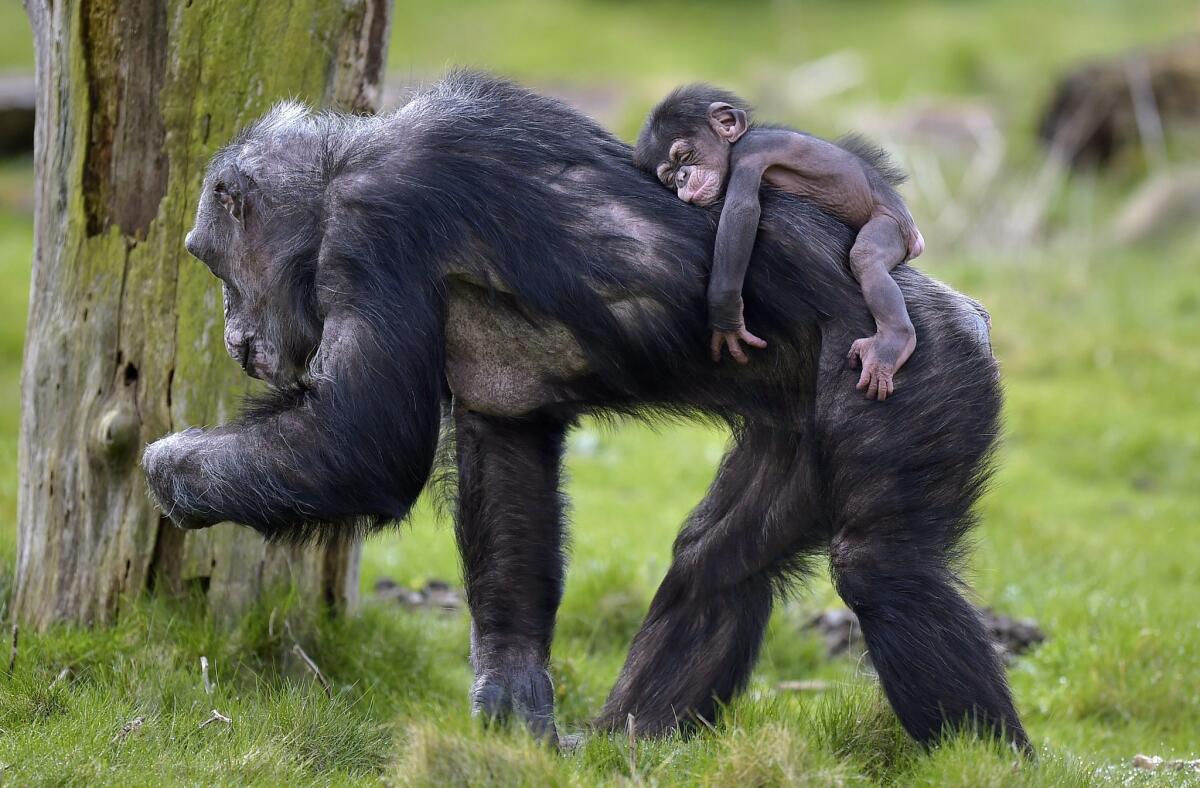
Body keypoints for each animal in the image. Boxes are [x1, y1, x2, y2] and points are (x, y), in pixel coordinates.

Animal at [633, 86, 921, 400]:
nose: (682, 178)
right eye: (669, 177)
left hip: (892, 226)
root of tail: (914, 235)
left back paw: (892, 343)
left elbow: (742, 211)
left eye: (684, 156)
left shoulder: (750, 154)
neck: (734, 145)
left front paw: (725, 317)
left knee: (866, 256)